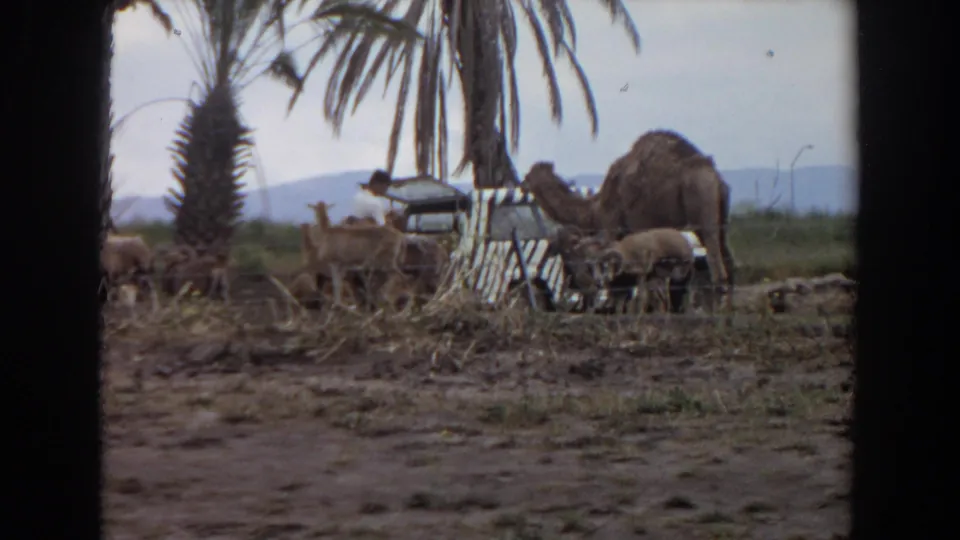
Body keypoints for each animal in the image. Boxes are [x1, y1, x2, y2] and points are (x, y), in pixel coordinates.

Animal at [521, 130, 736, 311]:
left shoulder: (611, 227)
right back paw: (728, 312)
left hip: (702, 202)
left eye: (529, 176)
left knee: (715, 263)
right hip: (721, 214)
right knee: (728, 260)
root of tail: (715, 177)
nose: (521, 185)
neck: (595, 209)